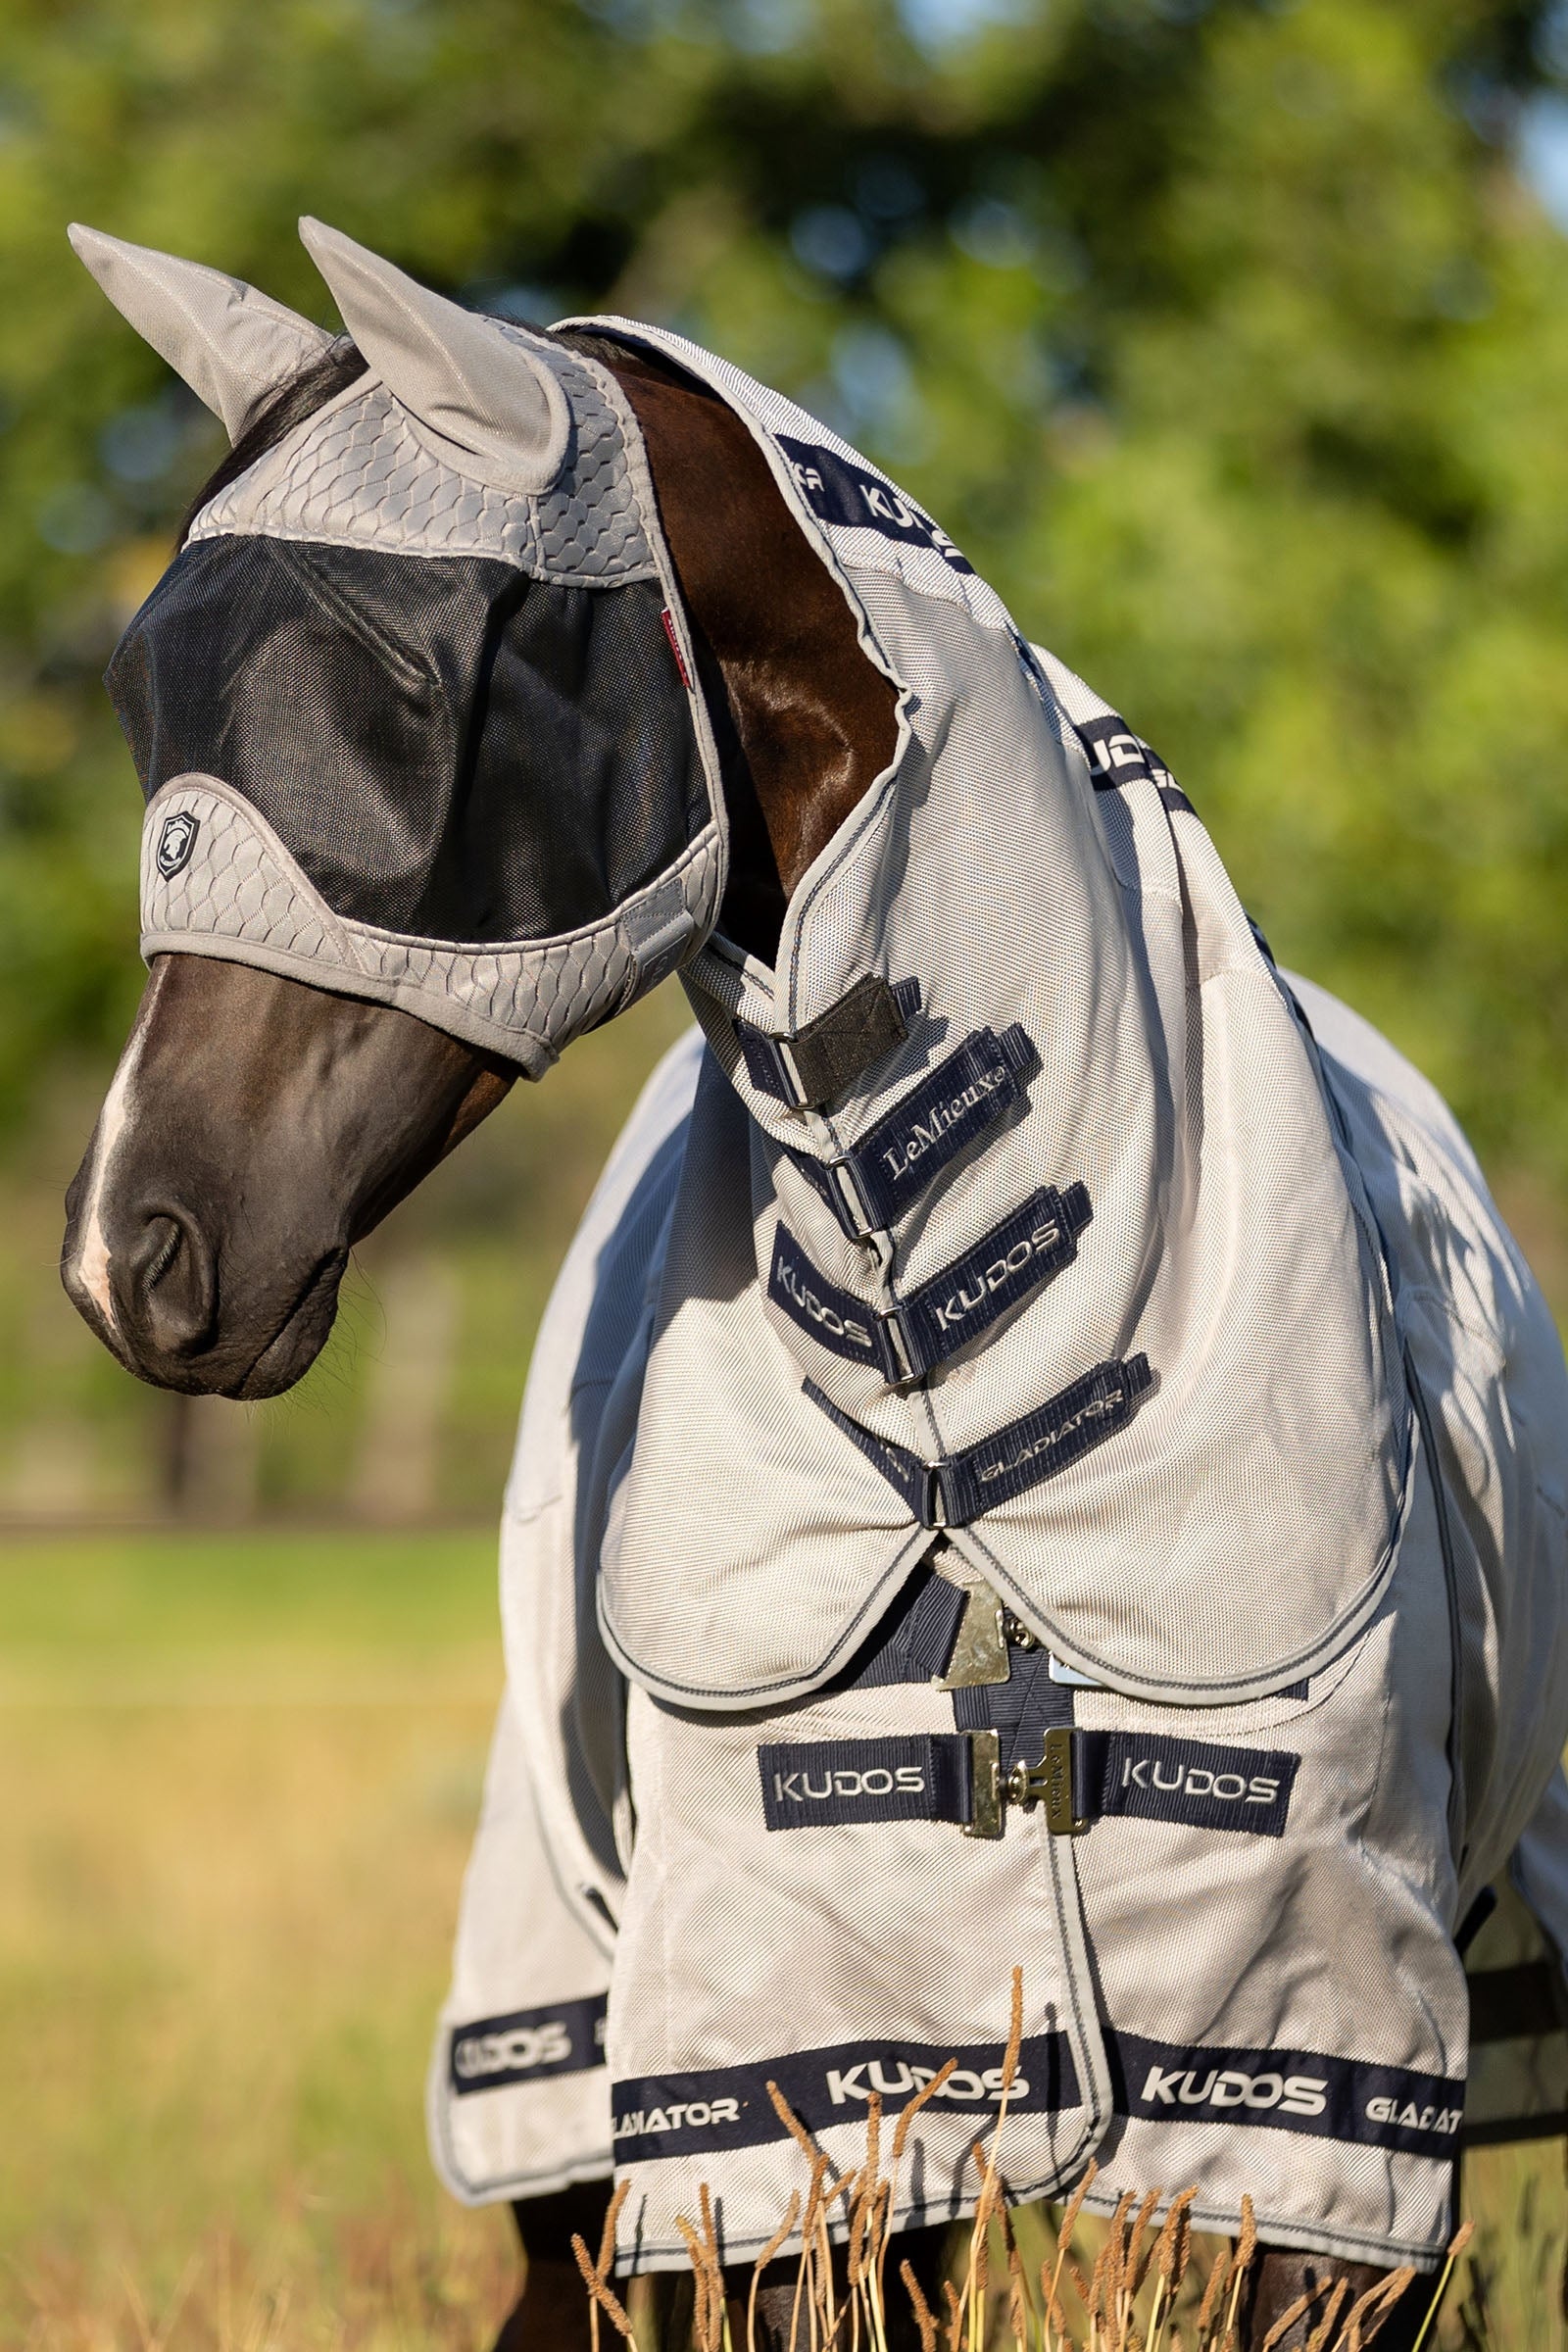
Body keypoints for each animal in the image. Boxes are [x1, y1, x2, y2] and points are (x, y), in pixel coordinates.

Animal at [59, 219, 1568, 2351]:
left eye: (422, 687)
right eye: (141, 690)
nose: (135, 1251)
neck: (966, 1413)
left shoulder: (1317, 2135)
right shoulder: (788, 2122)